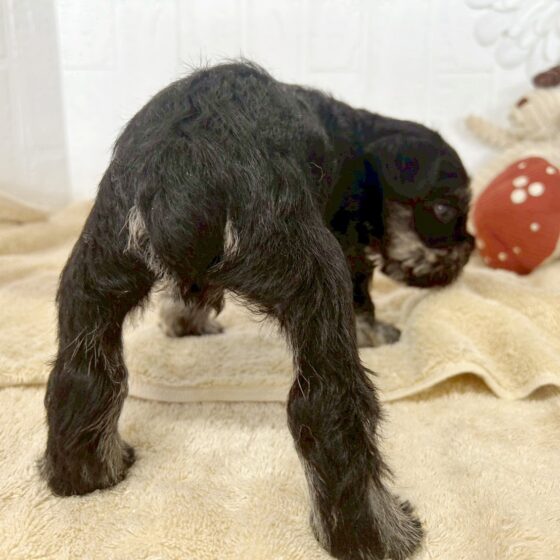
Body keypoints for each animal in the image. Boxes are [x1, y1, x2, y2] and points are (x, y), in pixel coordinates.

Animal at [42, 61, 473, 560]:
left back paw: (87, 475)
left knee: (83, 378)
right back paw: (380, 535)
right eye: (445, 209)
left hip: (93, 279)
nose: (470, 248)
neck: (360, 142)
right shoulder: (348, 248)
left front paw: (183, 321)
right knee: (327, 408)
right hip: (314, 279)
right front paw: (378, 332)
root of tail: (177, 177)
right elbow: (363, 294)